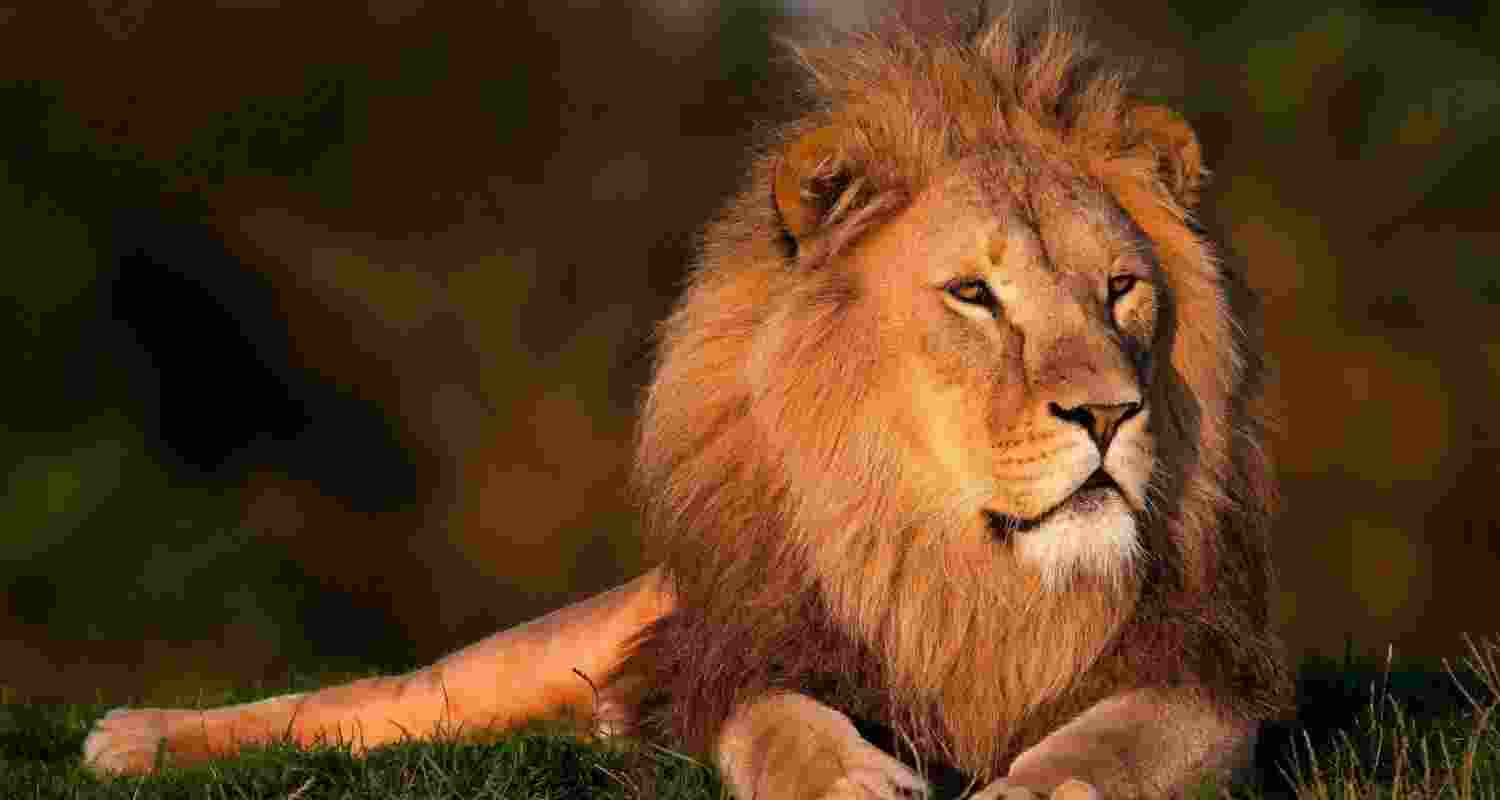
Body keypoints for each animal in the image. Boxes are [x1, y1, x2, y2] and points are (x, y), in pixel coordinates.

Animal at [83, 7, 1288, 798]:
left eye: (1121, 289)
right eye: (974, 296)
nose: (1110, 414)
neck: (965, 576)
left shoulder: (1210, 672)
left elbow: (1119, 741)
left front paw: (1035, 784)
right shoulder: (740, 653)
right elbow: (777, 723)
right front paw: (846, 781)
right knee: (369, 704)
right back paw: (135, 736)